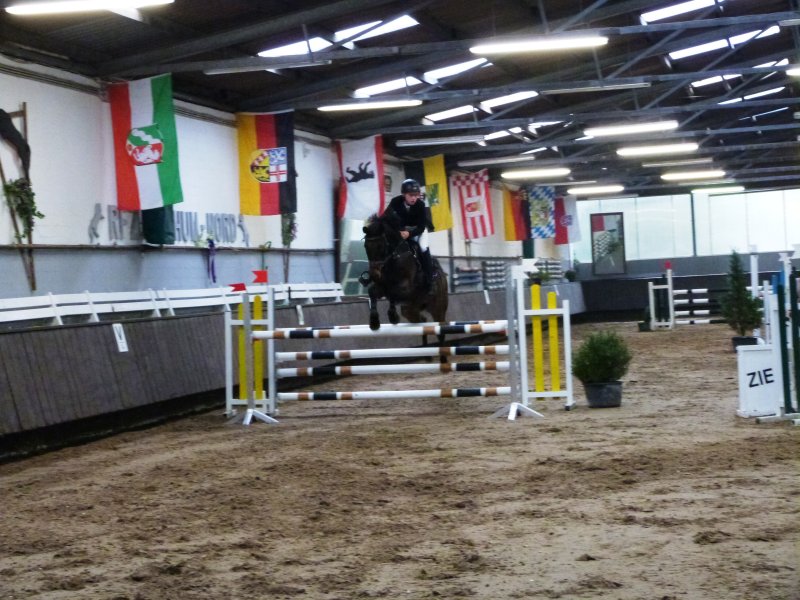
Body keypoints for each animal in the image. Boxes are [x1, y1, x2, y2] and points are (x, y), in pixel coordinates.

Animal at [361, 213, 449, 359]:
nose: (374, 275)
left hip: (438, 308)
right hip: (410, 309)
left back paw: (443, 357)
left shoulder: (406, 289)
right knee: (423, 321)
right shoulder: (382, 287)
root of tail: (443, 276)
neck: (394, 258)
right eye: (366, 247)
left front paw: (392, 316)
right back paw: (426, 354)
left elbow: (392, 293)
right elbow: (372, 291)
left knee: (440, 329)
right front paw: (374, 322)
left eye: (381, 246)